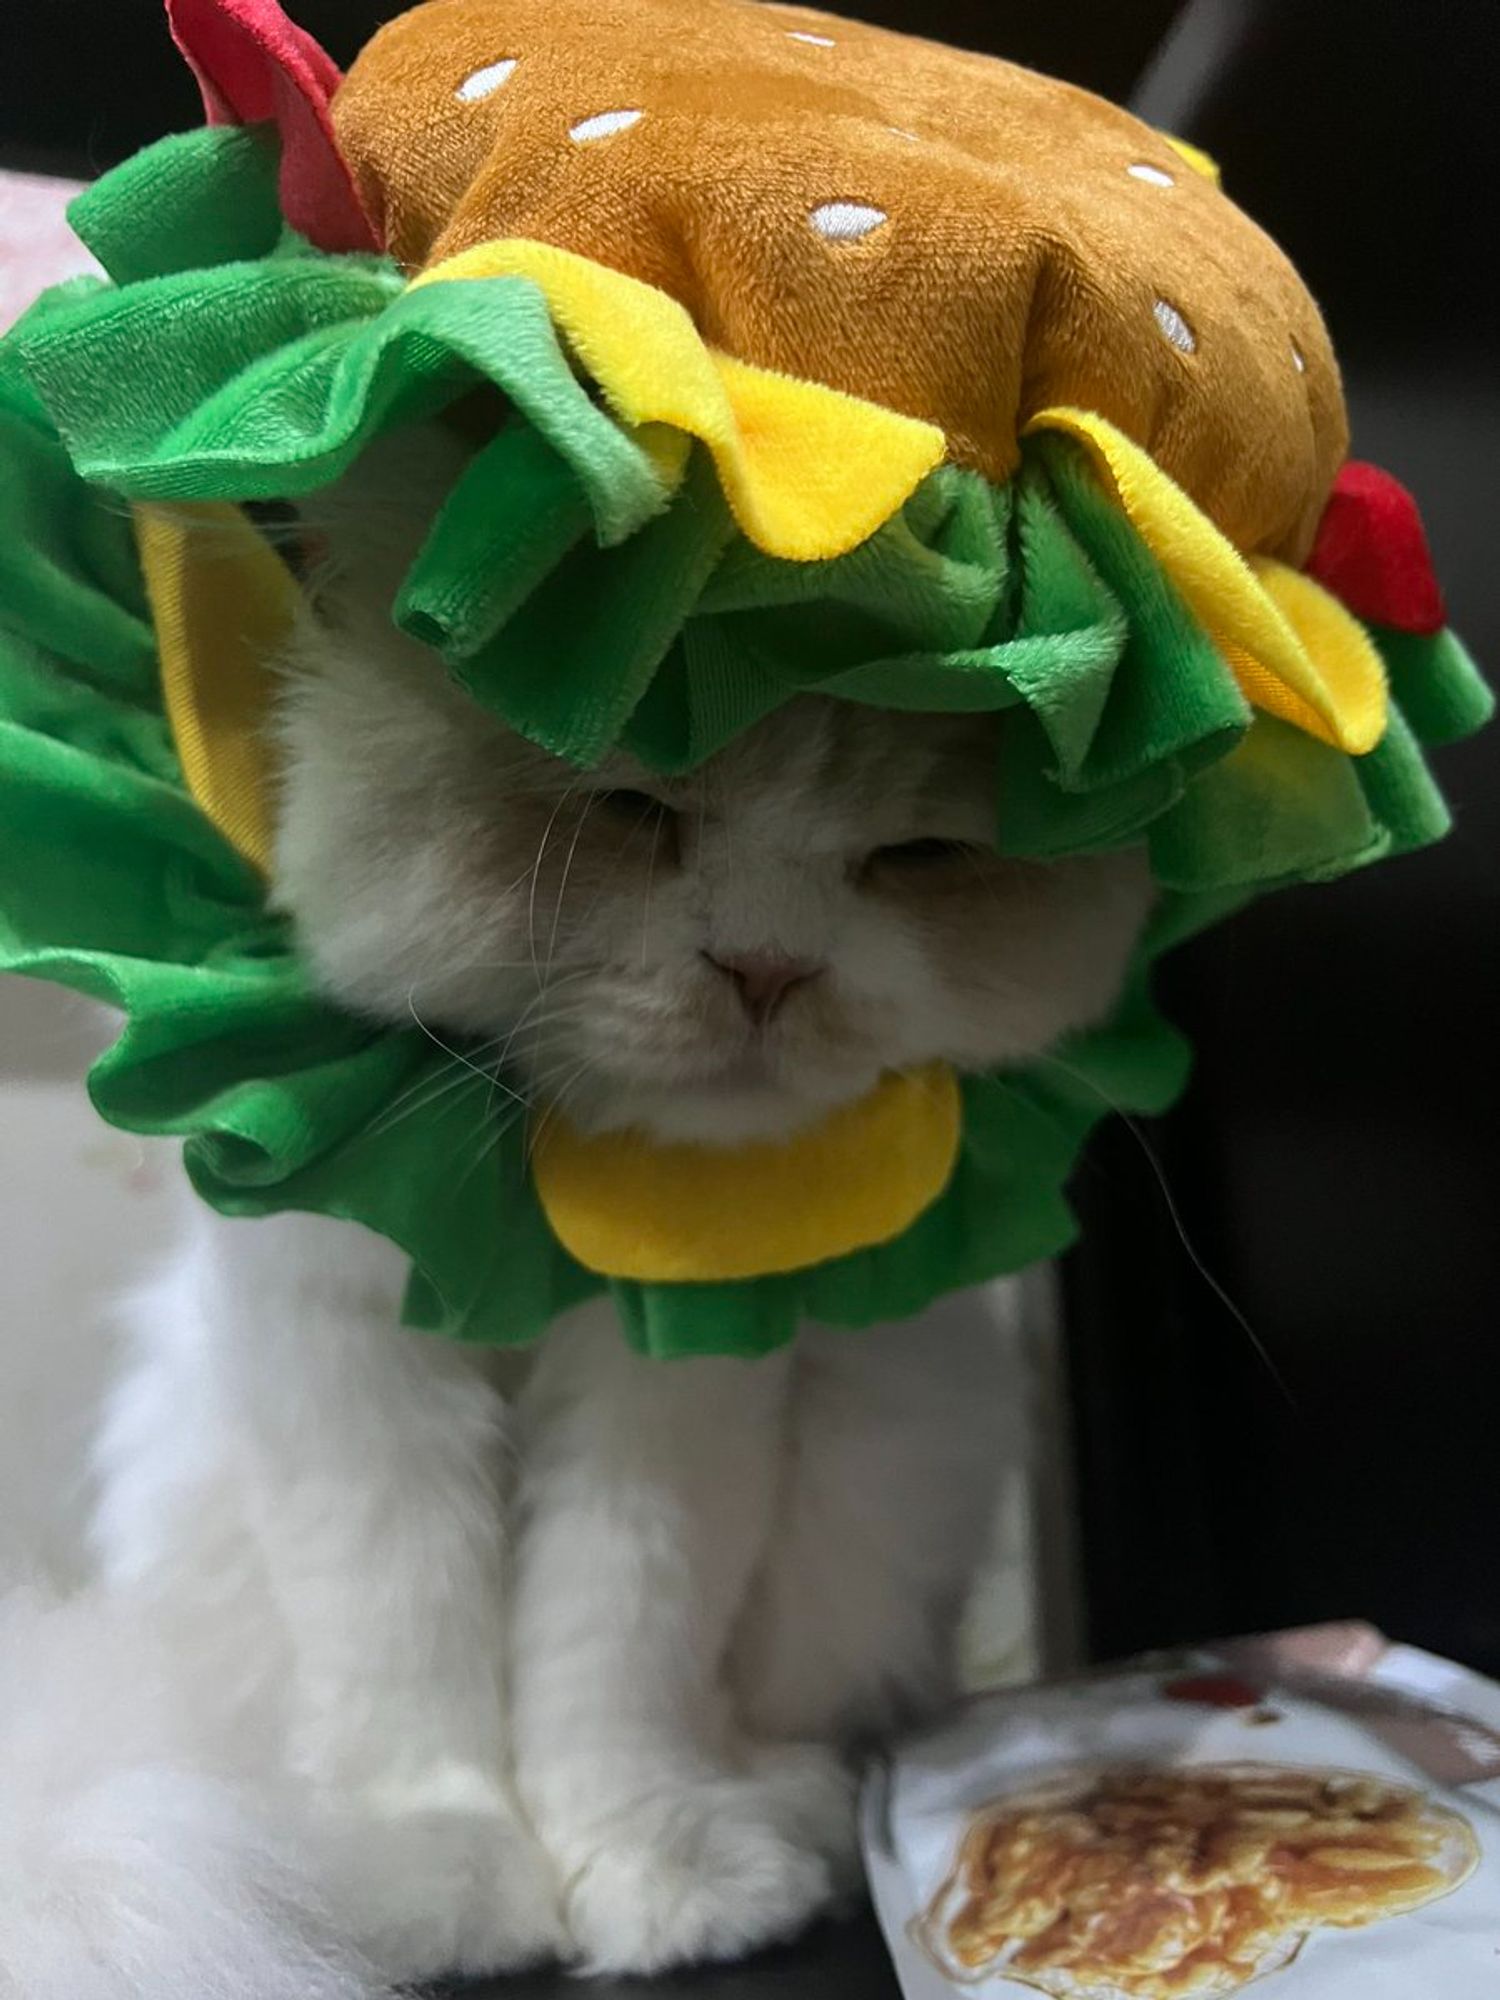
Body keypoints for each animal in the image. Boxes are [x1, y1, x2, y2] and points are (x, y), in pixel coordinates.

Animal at [0, 430, 1160, 1992]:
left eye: (907, 857)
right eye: (628, 808)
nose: (769, 970)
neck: (538, 1208)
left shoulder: (674, 1374)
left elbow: (616, 1652)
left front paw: (653, 1869)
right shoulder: (349, 1348)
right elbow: (402, 1641)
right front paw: (433, 1882)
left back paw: (778, 1811)